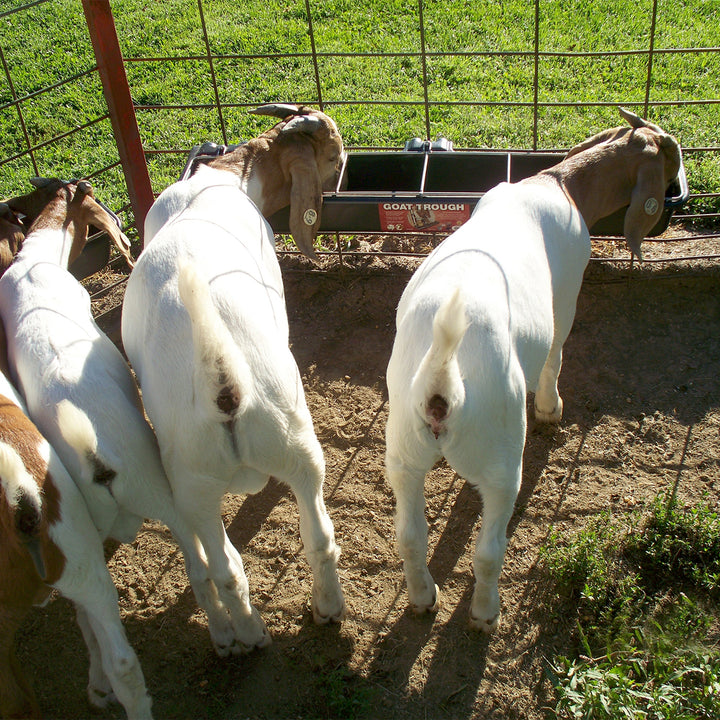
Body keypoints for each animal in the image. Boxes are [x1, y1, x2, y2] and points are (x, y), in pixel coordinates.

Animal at [0, 179, 248, 657]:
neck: (35, 260)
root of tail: (97, 461)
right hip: (159, 489)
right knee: (198, 564)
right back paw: (227, 635)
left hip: (88, 525)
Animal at [121, 104, 346, 651]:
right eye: (332, 156)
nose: (345, 168)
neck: (224, 178)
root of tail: (223, 387)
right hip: (295, 451)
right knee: (313, 537)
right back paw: (312, 615)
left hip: (197, 487)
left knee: (230, 567)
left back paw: (253, 631)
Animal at [384, 108, 682, 632]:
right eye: (669, 157)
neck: (560, 183)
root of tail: (442, 383)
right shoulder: (567, 291)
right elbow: (556, 352)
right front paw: (550, 408)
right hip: (502, 459)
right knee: (488, 550)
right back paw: (485, 614)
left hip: (402, 451)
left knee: (410, 537)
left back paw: (424, 598)